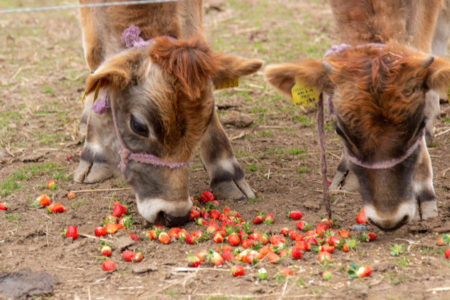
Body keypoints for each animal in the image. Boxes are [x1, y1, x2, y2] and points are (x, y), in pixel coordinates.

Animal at [75, 0, 262, 225]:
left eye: (206, 121)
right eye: (138, 126)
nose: (175, 214)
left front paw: (226, 172)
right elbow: (96, 60)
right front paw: (95, 154)